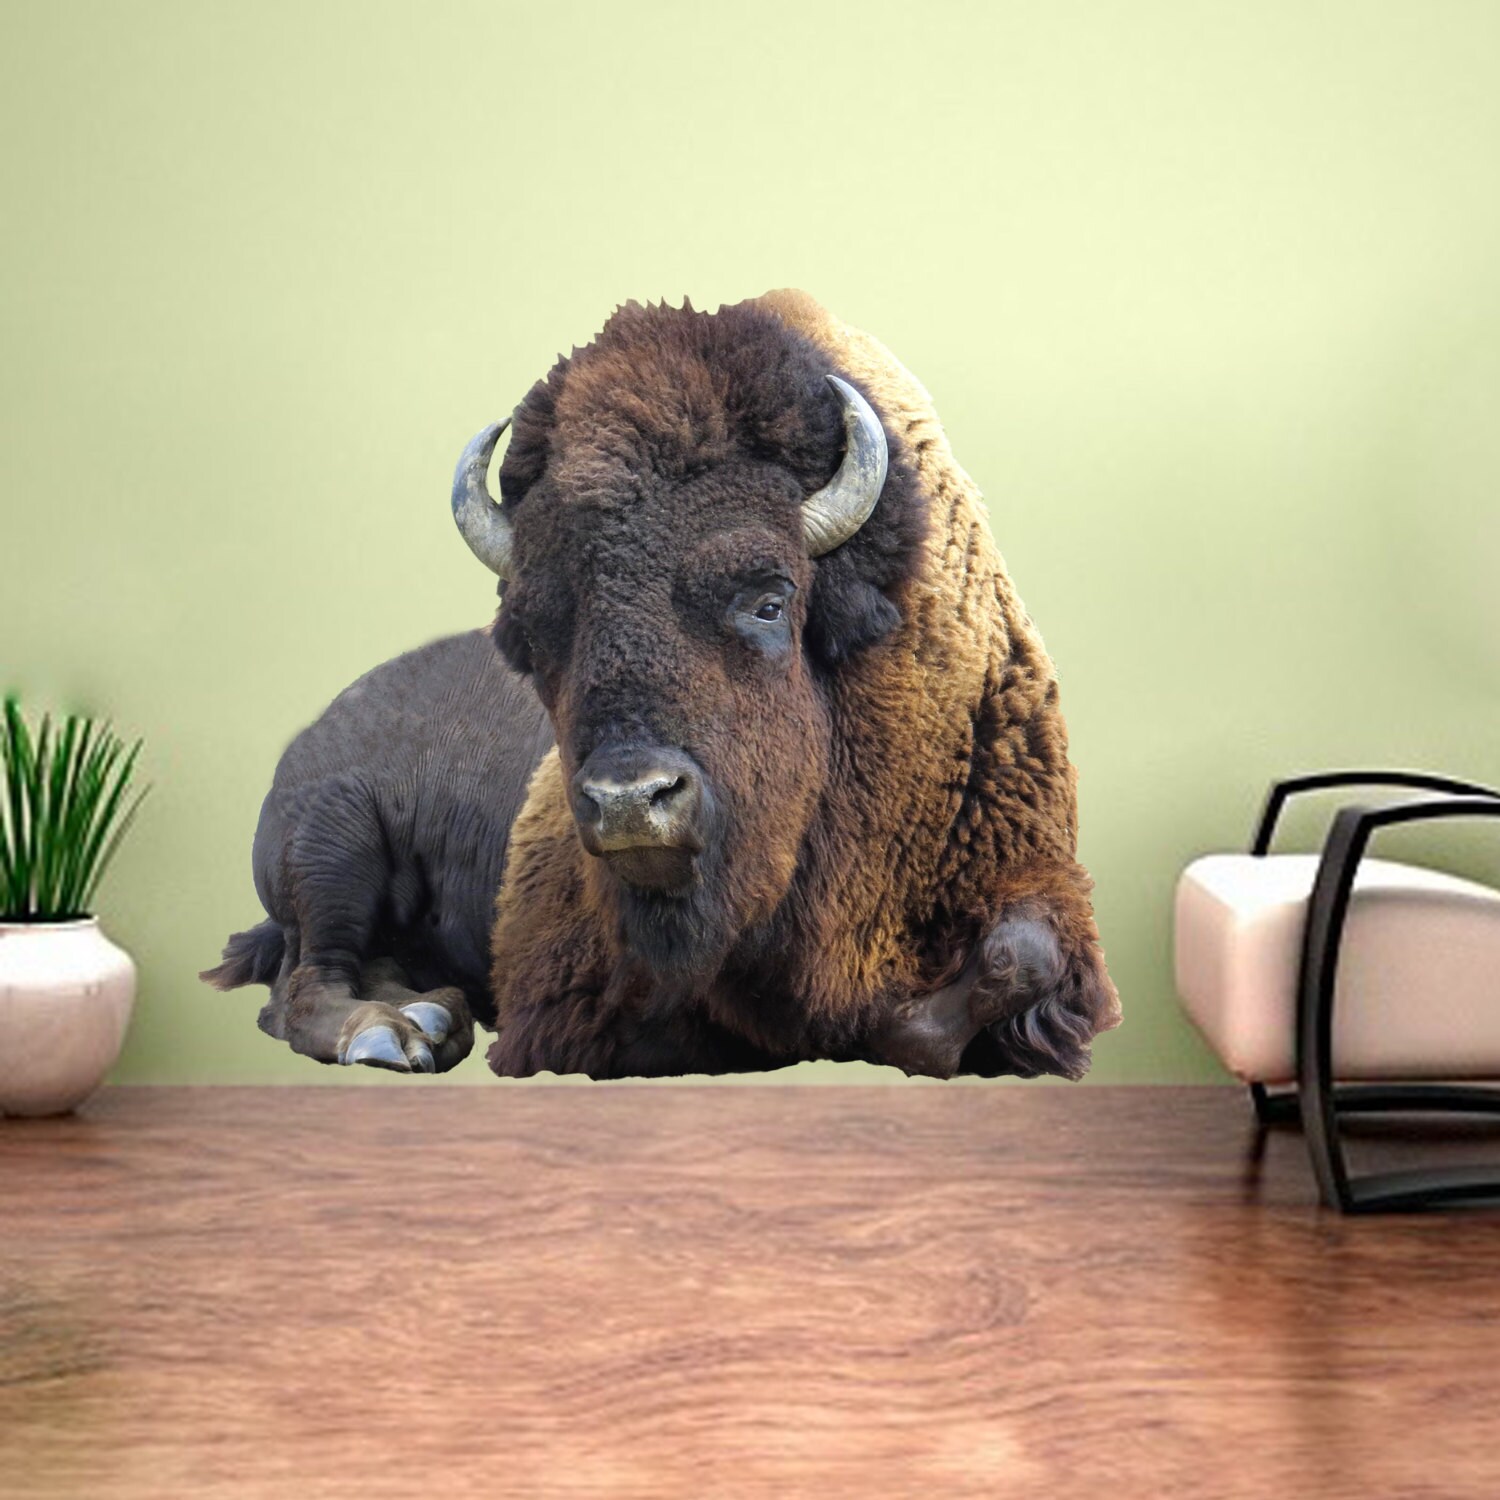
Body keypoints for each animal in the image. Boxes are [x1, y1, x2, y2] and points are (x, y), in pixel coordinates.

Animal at [204, 290, 1120, 1079]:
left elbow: (1023, 951)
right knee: (303, 984)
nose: (628, 802)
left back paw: (433, 1012)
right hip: (334, 846)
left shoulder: (1034, 876)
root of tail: (308, 739)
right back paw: (397, 1033)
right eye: (539, 633)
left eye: (769, 600)